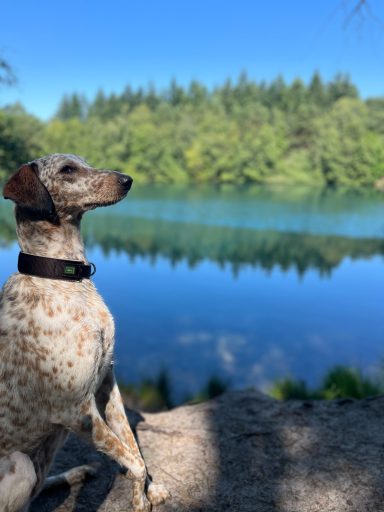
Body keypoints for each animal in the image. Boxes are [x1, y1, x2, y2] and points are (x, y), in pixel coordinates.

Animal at [0, 154, 169, 510]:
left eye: (85, 162)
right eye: (68, 170)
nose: (127, 179)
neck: (63, 276)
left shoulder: (107, 385)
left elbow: (135, 450)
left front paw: (151, 490)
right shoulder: (77, 412)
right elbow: (132, 462)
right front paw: (140, 502)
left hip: (48, 449)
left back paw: (76, 473)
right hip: (24, 462)